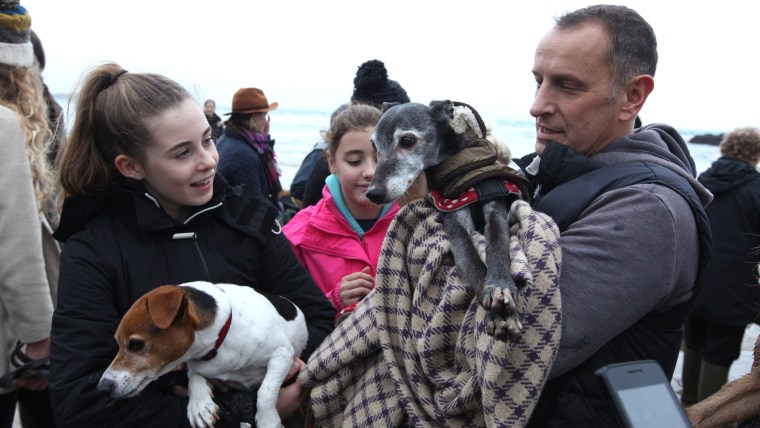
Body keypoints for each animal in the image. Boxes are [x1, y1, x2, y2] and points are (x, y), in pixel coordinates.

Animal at [96, 280, 308, 428]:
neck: (220, 340)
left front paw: (267, 420)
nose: (102, 387)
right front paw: (199, 405)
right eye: (118, 343)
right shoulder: (199, 367)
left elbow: (266, 391)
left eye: (136, 344)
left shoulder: (282, 354)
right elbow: (194, 377)